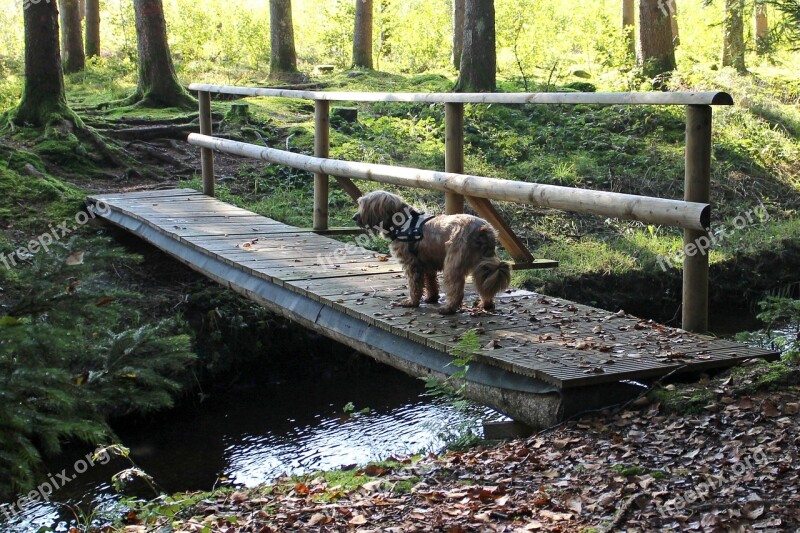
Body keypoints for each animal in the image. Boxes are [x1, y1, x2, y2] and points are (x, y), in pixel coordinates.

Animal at [352, 190, 512, 314]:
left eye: (364, 205)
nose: (354, 217)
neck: (404, 222)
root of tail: (483, 229)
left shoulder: (412, 264)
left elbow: (415, 285)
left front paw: (412, 301)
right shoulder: (427, 263)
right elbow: (431, 283)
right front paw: (431, 298)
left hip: (453, 264)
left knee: (456, 289)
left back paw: (449, 308)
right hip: (483, 264)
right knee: (485, 283)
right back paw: (486, 304)